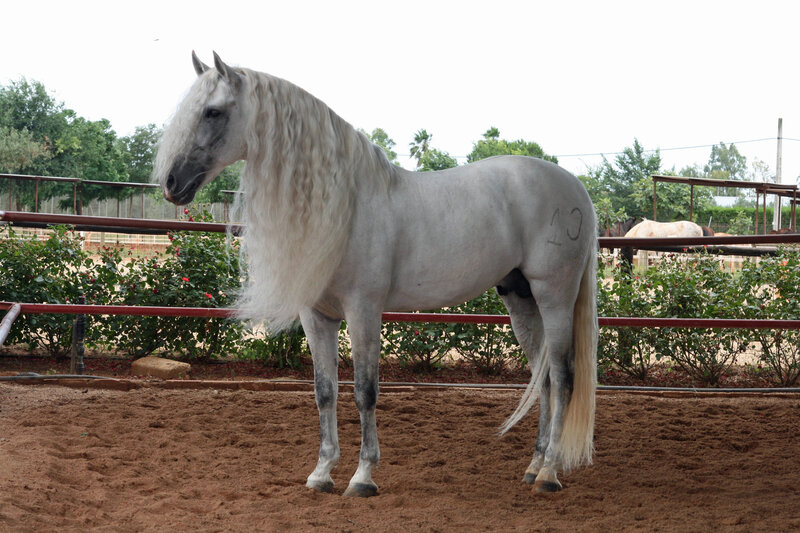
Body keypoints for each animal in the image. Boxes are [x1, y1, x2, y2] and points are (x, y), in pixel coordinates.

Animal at [155, 52, 598, 497]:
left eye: (213, 111)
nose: (172, 184)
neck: (345, 205)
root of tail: (575, 186)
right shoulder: (316, 316)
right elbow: (325, 391)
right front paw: (321, 473)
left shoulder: (363, 310)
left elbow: (365, 391)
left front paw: (363, 477)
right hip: (520, 299)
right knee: (544, 378)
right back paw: (533, 467)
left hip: (554, 297)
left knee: (563, 378)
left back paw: (549, 473)